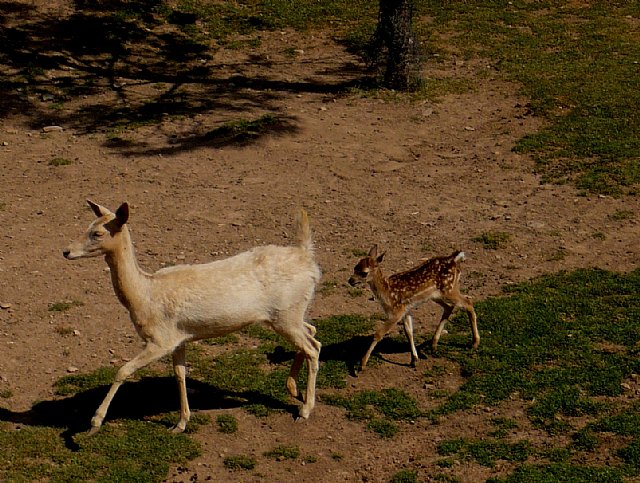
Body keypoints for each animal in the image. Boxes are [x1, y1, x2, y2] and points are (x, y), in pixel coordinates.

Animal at [63, 200, 322, 434]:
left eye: (97, 233)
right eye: (88, 225)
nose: (66, 250)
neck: (144, 295)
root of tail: (308, 259)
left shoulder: (160, 340)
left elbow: (122, 371)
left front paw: (94, 423)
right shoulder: (179, 338)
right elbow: (180, 374)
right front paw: (180, 423)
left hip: (285, 314)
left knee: (312, 347)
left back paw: (305, 409)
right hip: (290, 314)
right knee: (313, 334)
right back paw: (293, 389)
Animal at [348, 246, 478, 370]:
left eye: (364, 272)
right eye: (355, 267)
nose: (350, 281)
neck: (387, 293)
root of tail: (454, 259)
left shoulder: (397, 311)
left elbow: (379, 333)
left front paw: (362, 364)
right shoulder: (406, 309)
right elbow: (409, 332)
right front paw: (414, 359)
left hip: (449, 289)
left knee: (468, 302)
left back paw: (475, 343)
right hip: (437, 295)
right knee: (450, 307)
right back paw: (433, 344)